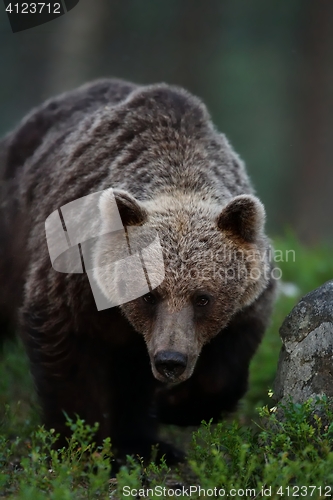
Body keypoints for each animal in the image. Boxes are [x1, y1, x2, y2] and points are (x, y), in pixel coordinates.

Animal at [0, 77, 274, 464]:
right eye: (148, 294)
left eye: (203, 298)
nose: (170, 361)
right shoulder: (75, 279)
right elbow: (68, 351)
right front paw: (81, 441)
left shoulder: (249, 297)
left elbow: (225, 364)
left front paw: (174, 407)